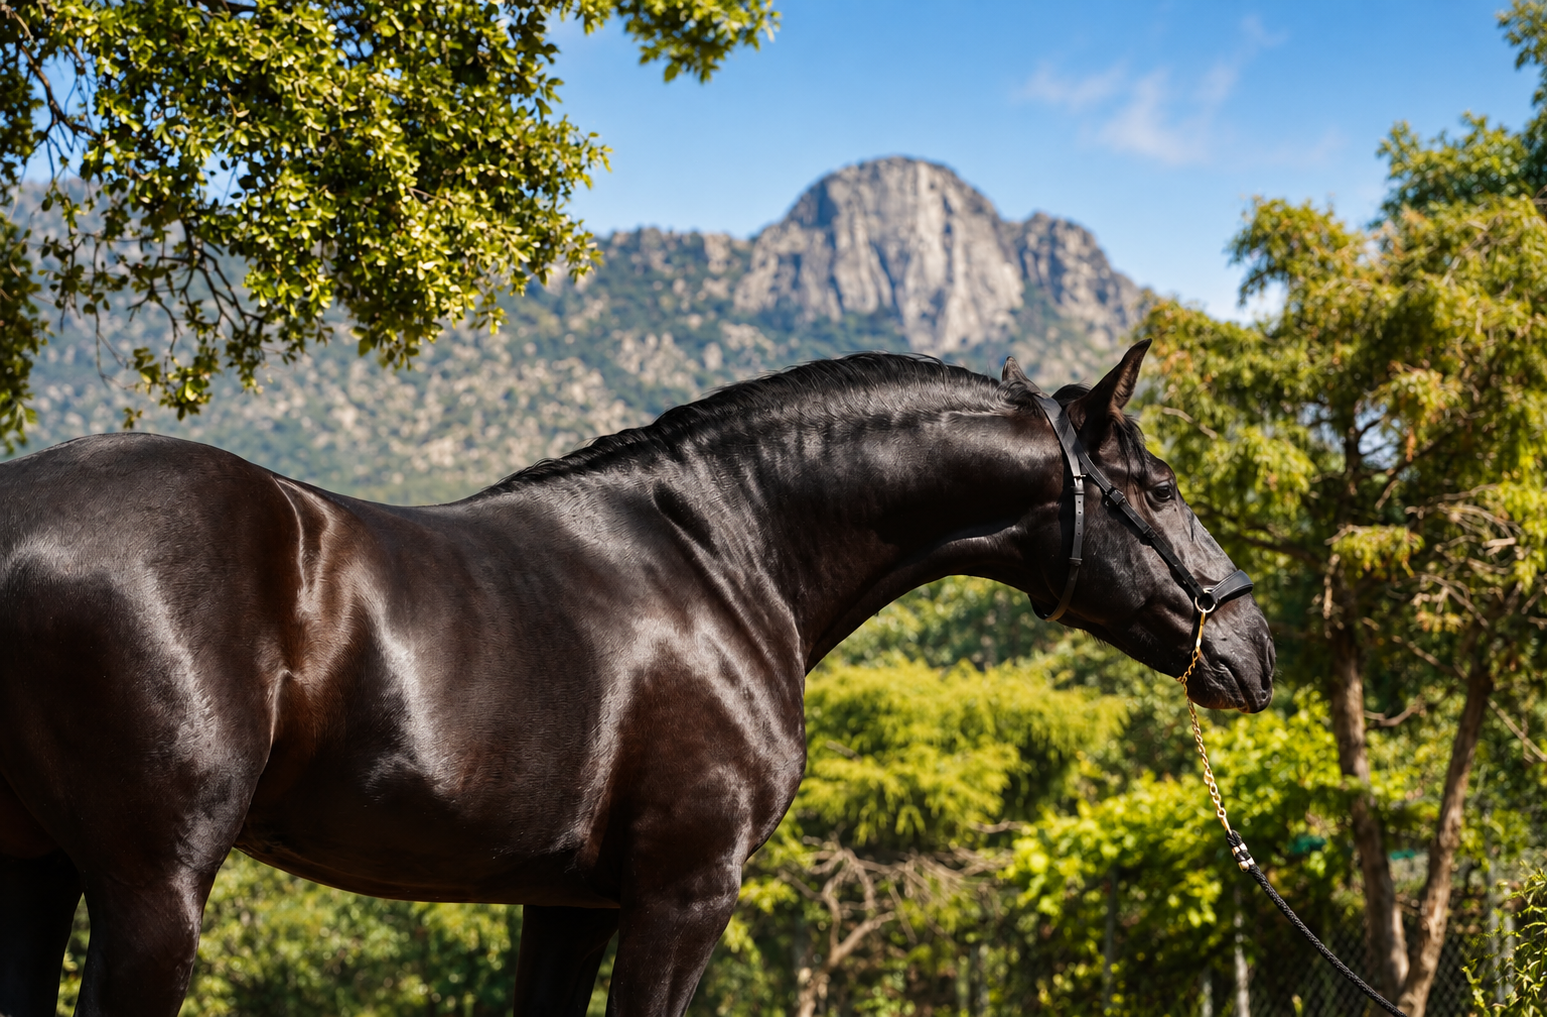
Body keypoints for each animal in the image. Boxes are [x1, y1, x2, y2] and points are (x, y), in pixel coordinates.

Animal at [0, 340, 1273, 1017]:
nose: (1253, 650)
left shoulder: (569, 905)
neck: (722, 554)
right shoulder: (683, 892)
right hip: (153, 890)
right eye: (1158, 486)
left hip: (40, 874)